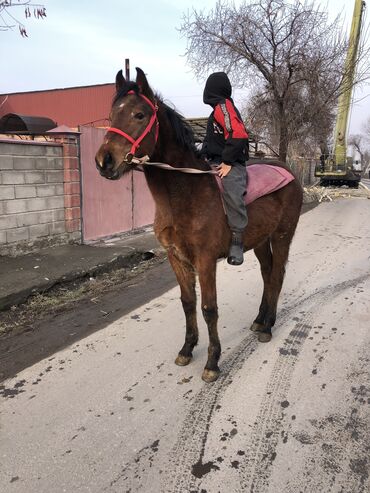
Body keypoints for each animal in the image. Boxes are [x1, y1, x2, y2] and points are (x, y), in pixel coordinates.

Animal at [95, 67, 304, 382]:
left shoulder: (205, 260)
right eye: (110, 115)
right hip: (260, 241)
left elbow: (209, 309)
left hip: (282, 236)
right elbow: (187, 303)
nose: (104, 161)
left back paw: (268, 326)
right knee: (268, 274)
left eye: (140, 114)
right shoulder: (177, 258)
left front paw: (212, 362)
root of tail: (289, 171)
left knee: (277, 275)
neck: (185, 193)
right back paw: (259, 320)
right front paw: (186, 349)